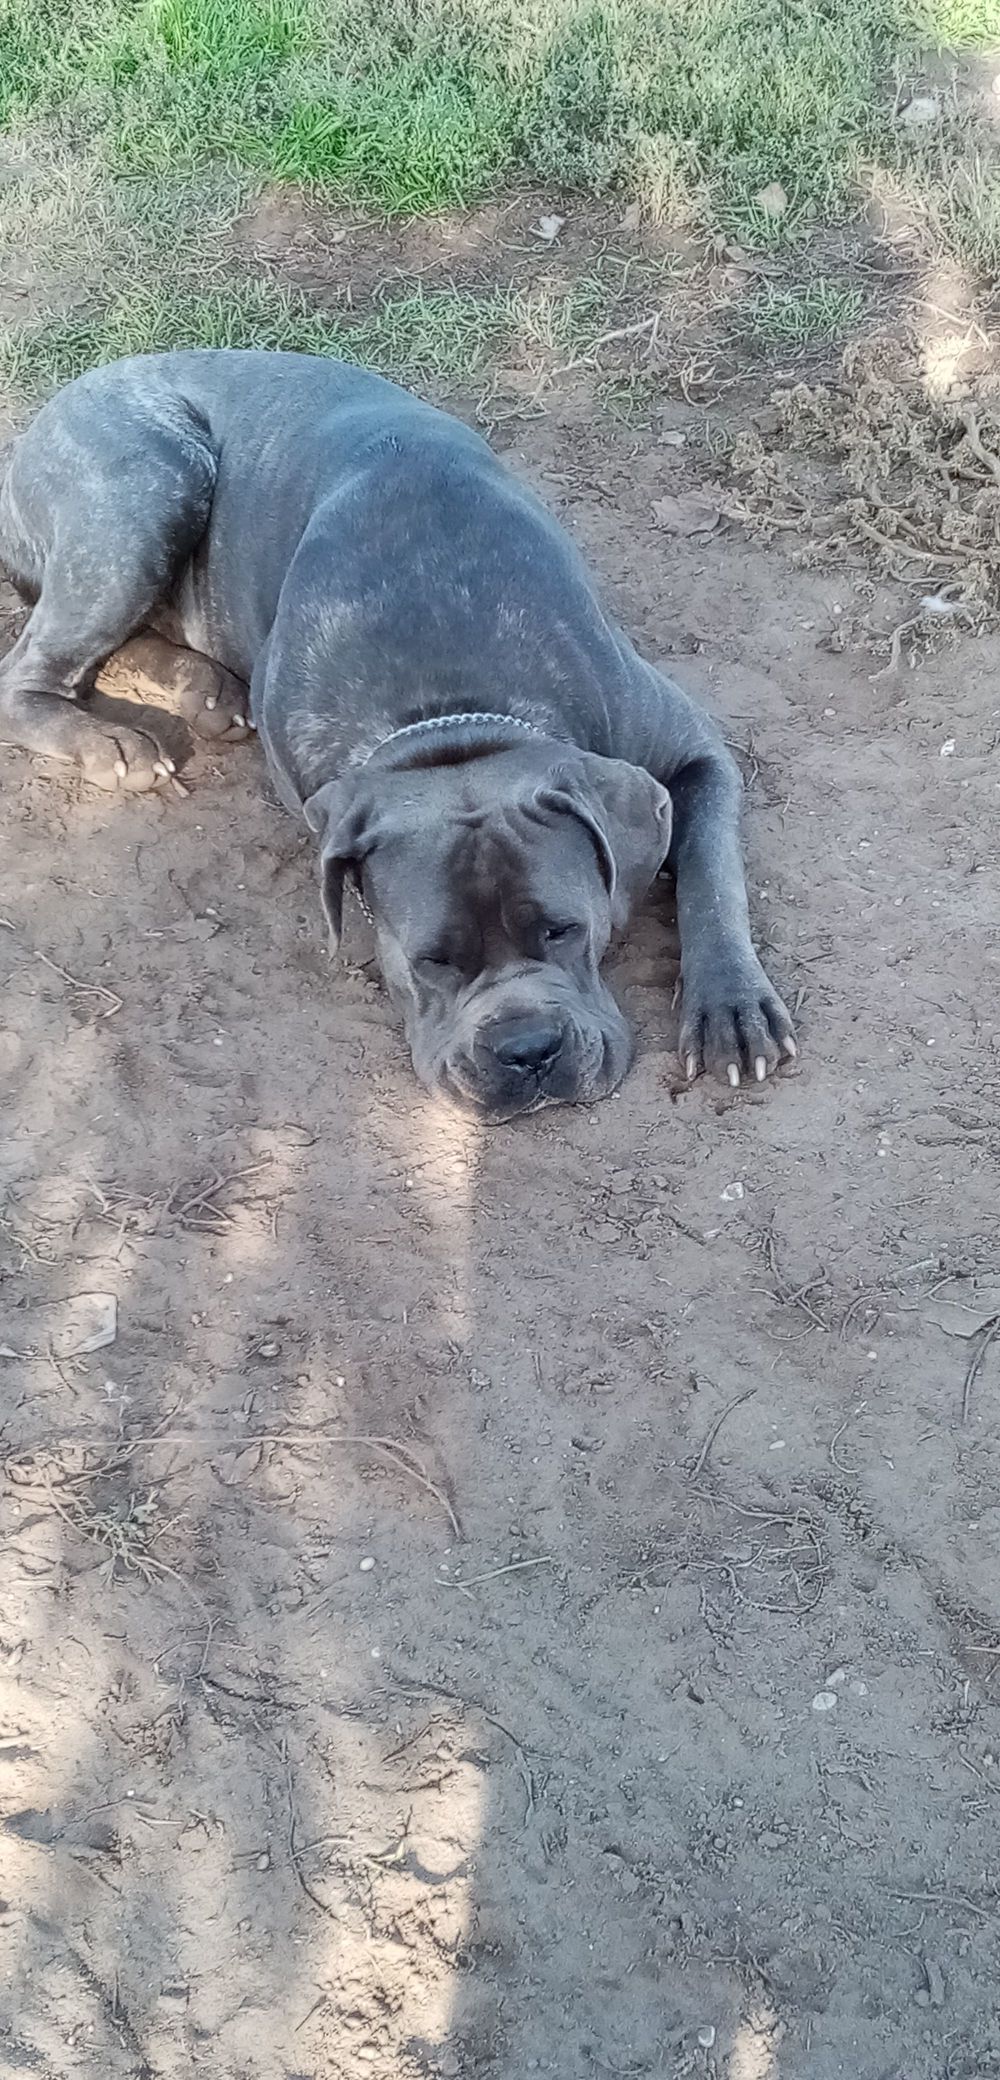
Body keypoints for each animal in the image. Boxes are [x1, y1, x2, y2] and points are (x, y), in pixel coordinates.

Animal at [0, 349, 794, 1123]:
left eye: (565, 930)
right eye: (431, 961)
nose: (527, 1049)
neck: (453, 721)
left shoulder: (691, 753)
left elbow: (711, 875)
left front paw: (731, 1007)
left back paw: (206, 693)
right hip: (143, 496)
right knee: (30, 668)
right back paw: (114, 746)